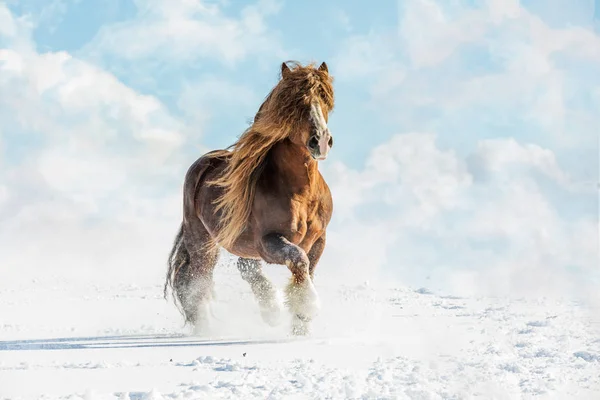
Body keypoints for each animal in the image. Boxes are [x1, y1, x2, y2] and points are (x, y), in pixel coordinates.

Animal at [162, 61, 336, 336]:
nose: (320, 141)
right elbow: (299, 261)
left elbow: (307, 270)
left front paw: (300, 328)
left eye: (325, 99)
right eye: (295, 102)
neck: (301, 194)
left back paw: (270, 312)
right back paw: (206, 331)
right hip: (203, 242)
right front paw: (306, 310)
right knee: (198, 284)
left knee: (245, 267)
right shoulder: (269, 240)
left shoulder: (319, 241)